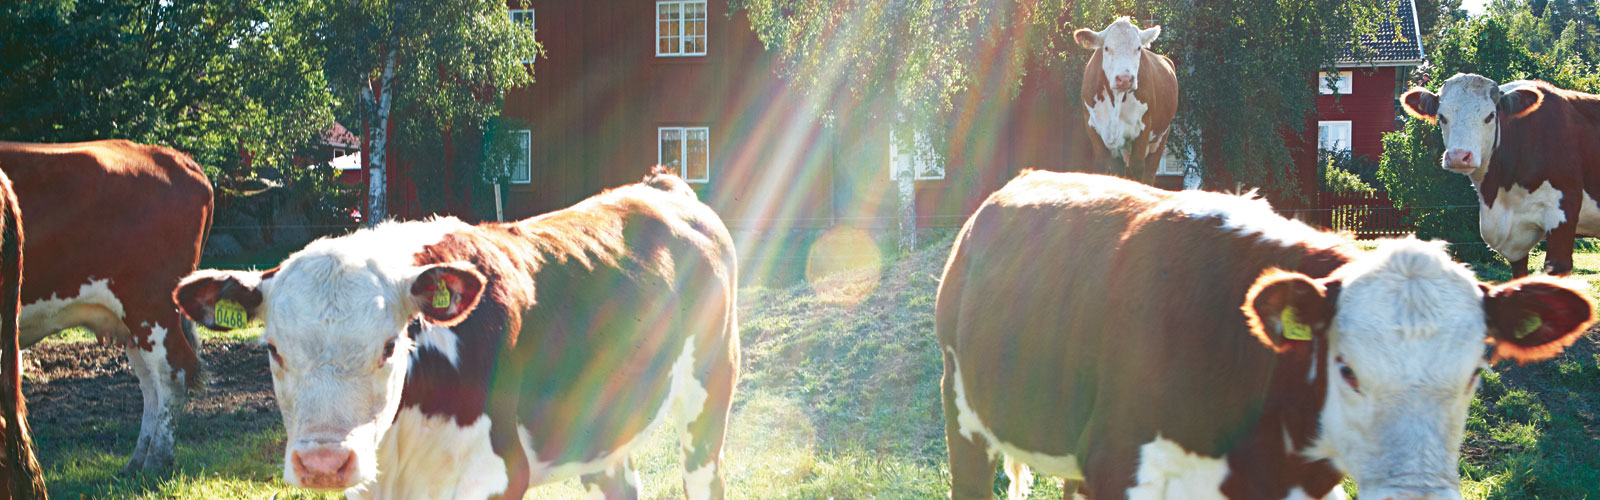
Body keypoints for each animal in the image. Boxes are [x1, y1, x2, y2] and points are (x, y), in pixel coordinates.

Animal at [0, 140, 213, 473]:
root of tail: (175, 157)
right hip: (134, 323)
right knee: (150, 383)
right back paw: (136, 461)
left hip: (151, 306)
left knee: (172, 373)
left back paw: (156, 461)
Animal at [172, 171, 738, 499]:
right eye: (273, 349)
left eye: (389, 346)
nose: (323, 463)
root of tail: (660, 183)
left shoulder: (498, 475)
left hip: (710, 393)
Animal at [1073, 17, 1179, 184]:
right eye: (1107, 48)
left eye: (1138, 48)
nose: (1125, 79)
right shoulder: (1093, 127)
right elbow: (1103, 166)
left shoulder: (1143, 127)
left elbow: (1138, 167)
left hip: (1161, 136)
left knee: (1150, 172)